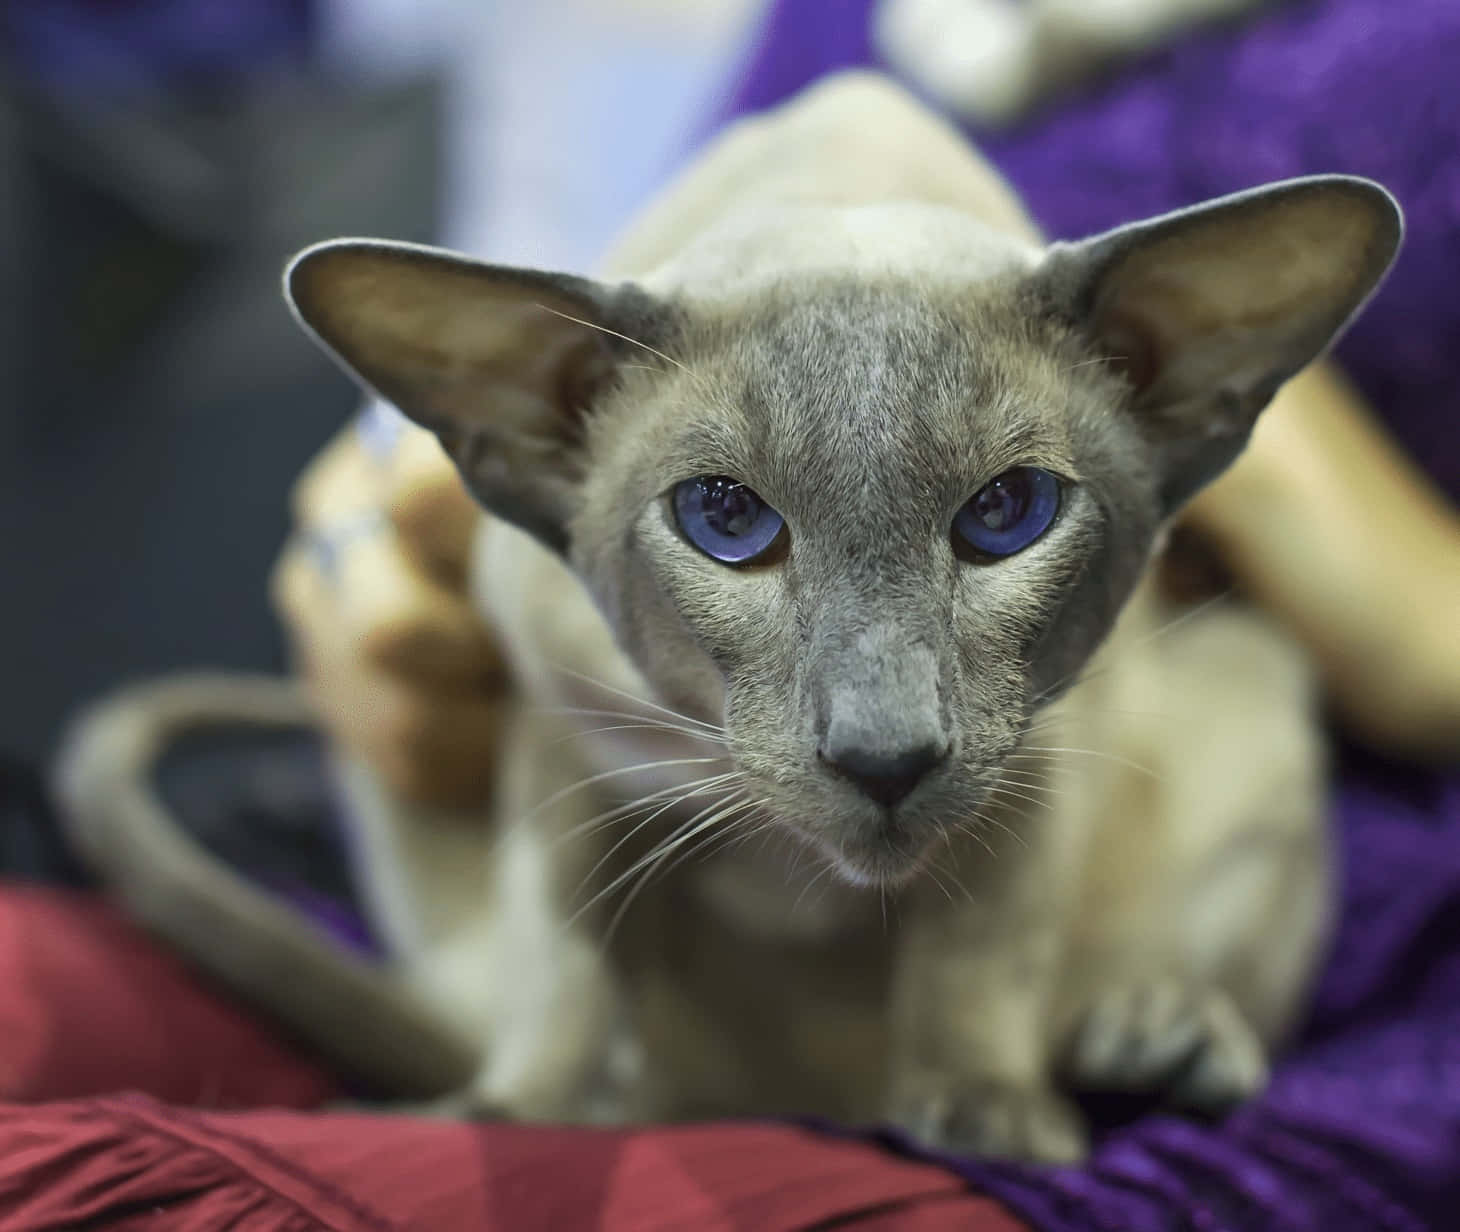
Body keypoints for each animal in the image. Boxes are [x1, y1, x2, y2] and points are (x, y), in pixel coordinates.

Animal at [71, 72, 1401, 1161]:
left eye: (1005, 513)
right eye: (723, 519)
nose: (883, 757)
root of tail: (803, 1106)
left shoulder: (1037, 751)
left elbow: (983, 944)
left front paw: (987, 1112)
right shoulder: (562, 738)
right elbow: (563, 960)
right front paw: (519, 1114)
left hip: (1251, 677)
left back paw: (1150, 1037)